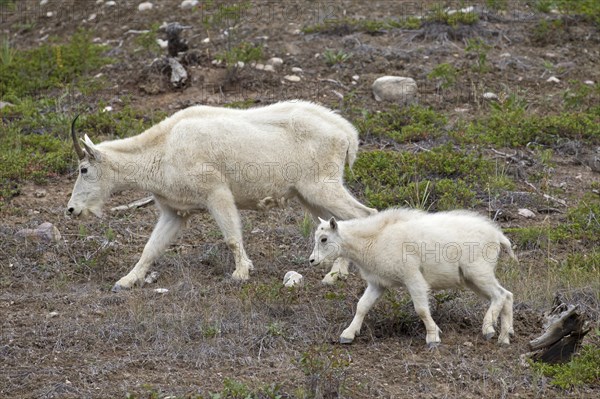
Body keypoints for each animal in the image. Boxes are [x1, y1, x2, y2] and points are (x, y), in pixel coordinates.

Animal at [65, 101, 376, 292]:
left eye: (83, 169)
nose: (71, 210)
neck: (163, 149)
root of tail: (347, 134)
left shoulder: (216, 192)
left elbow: (231, 236)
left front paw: (241, 273)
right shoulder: (174, 212)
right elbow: (151, 248)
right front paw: (126, 281)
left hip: (322, 186)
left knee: (365, 215)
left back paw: (337, 274)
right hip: (308, 196)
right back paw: (335, 273)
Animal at [310, 209, 516, 346]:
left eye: (324, 239)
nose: (312, 260)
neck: (373, 240)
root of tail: (498, 236)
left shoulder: (412, 276)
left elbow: (421, 309)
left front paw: (433, 337)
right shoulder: (377, 284)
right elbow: (362, 306)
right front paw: (347, 334)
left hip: (478, 272)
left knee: (500, 295)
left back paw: (488, 329)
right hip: (472, 279)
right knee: (507, 295)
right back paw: (505, 337)